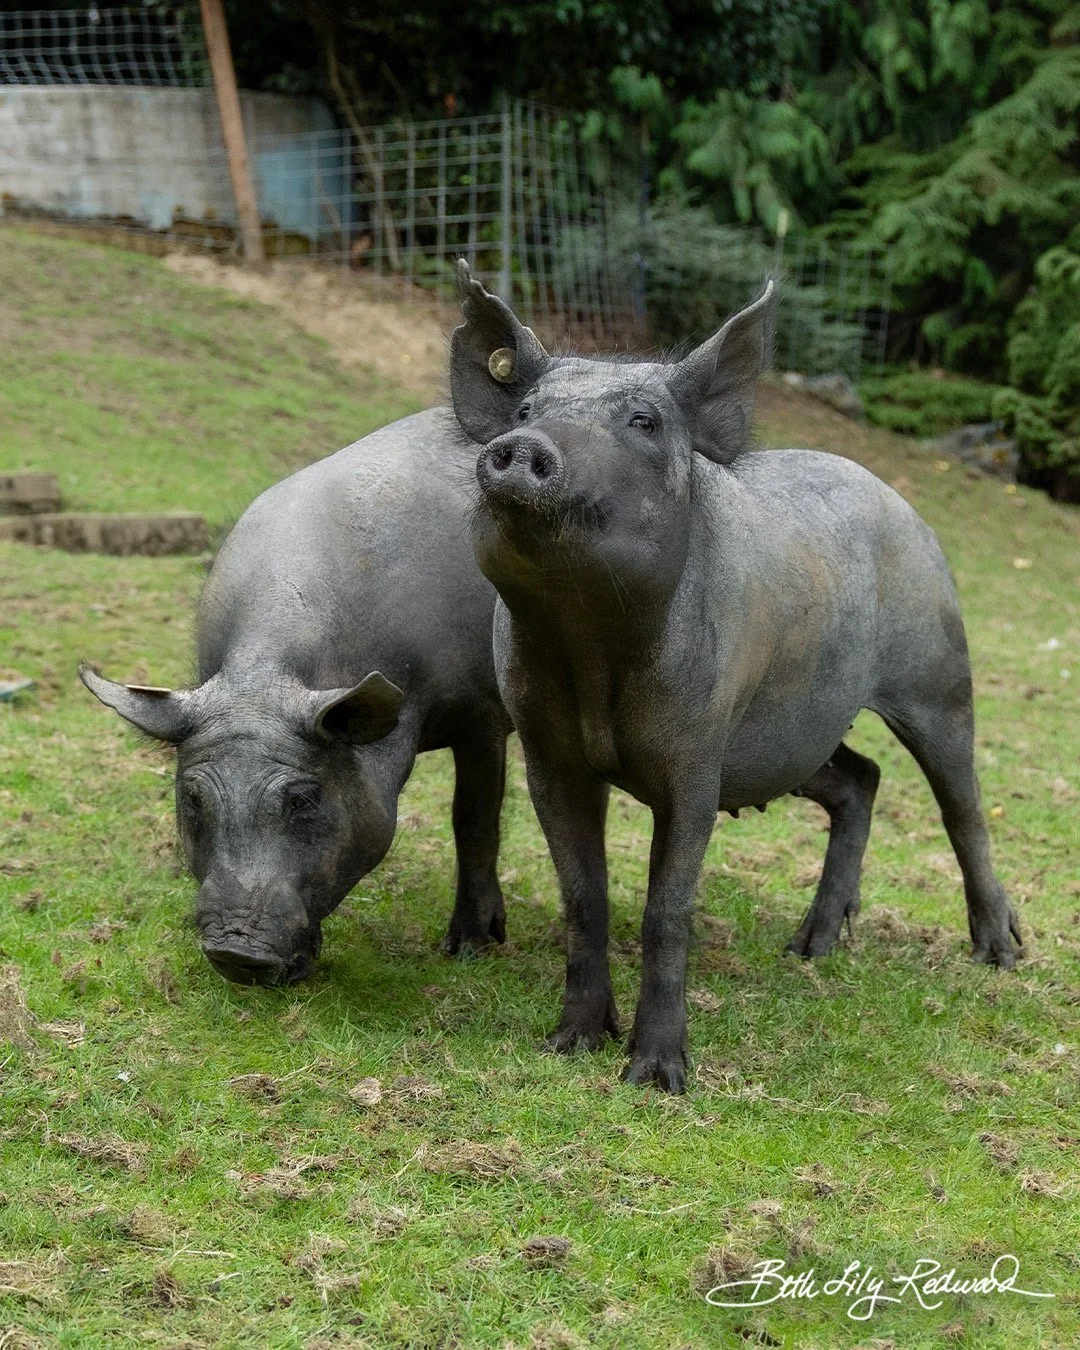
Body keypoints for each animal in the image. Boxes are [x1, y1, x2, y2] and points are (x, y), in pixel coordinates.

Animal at [81, 409, 510, 985]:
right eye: (192, 798)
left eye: (303, 799)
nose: (236, 953)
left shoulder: (483, 715)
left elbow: (474, 816)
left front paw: (467, 949)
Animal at [450, 261, 1021, 1094]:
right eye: (524, 408)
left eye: (644, 421)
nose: (523, 445)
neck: (589, 644)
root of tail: (899, 500)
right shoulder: (547, 750)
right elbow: (584, 897)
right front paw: (568, 1046)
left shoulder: (696, 749)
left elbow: (666, 909)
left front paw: (656, 1080)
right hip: (794, 734)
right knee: (863, 777)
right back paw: (812, 947)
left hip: (939, 675)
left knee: (962, 804)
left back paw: (1000, 956)